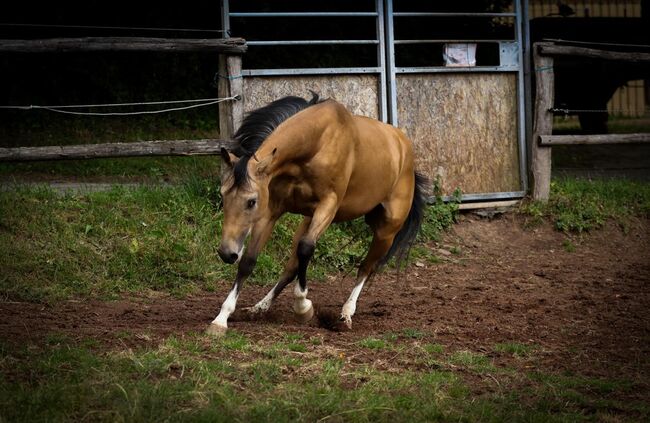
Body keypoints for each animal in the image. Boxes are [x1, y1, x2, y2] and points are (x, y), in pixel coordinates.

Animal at [207, 93, 427, 336]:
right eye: (223, 195)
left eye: (251, 201)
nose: (226, 253)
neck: (317, 143)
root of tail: (403, 148)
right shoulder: (272, 211)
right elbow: (249, 260)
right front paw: (222, 318)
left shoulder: (328, 206)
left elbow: (306, 249)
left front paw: (303, 306)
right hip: (308, 220)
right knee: (291, 267)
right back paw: (260, 306)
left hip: (386, 231)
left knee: (365, 268)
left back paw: (346, 314)